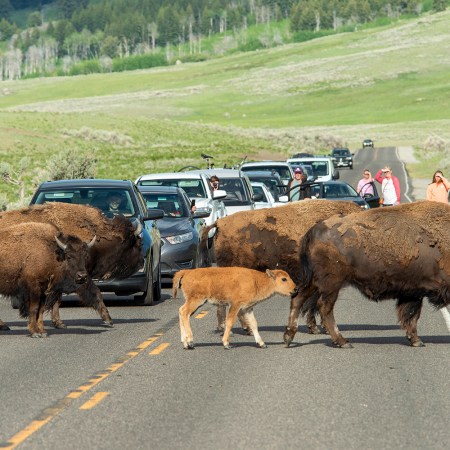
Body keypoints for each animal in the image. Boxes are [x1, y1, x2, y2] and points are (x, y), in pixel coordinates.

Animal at [0, 203, 143, 326]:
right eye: (136, 243)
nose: (142, 262)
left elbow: (57, 300)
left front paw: (59, 323)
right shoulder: (80, 277)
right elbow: (96, 292)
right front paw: (108, 319)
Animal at [284, 201, 450, 348]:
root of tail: (314, 230)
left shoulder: (413, 293)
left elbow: (411, 316)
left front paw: (415, 340)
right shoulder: (416, 292)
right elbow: (412, 316)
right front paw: (417, 341)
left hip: (315, 281)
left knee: (298, 299)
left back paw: (288, 337)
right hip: (331, 284)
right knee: (324, 307)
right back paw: (343, 342)